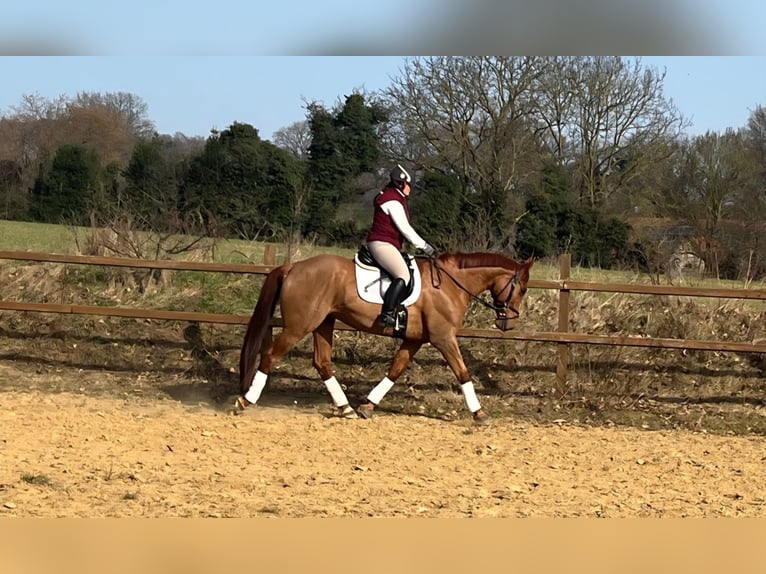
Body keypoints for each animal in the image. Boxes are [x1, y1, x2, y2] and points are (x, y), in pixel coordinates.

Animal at [233, 251, 534, 425]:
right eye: (521, 289)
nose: (508, 324)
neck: (450, 284)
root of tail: (294, 267)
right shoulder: (443, 337)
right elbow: (463, 373)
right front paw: (480, 414)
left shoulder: (415, 339)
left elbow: (395, 369)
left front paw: (367, 406)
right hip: (300, 325)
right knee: (271, 355)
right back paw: (245, 401)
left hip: (323, 323)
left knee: (322, 362)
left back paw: (346, 408)